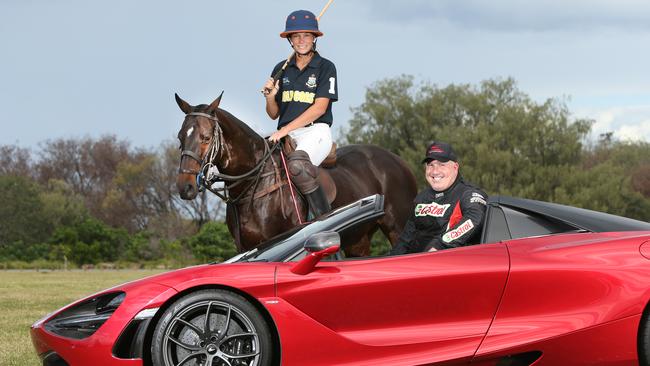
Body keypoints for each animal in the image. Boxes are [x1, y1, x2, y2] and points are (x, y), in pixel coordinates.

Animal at [173, 93, 416, 256]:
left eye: (205, 138)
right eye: (180, 137)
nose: (185, 187)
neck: (254, 186)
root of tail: (399, 161)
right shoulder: (246, 248)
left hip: (398, 227)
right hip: (359, 240)